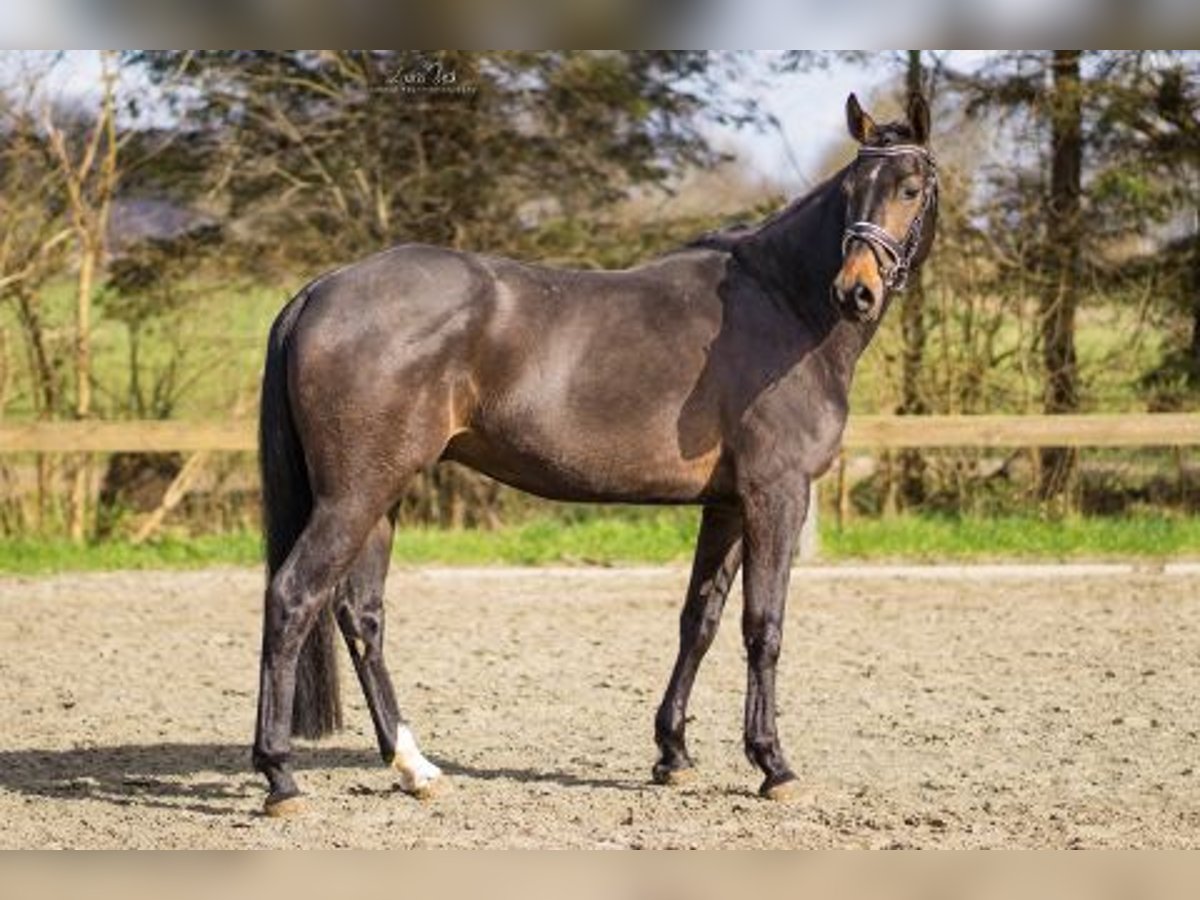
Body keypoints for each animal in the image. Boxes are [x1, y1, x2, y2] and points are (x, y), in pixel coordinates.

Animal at [253, 93, 940, 816]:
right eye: (852, 190)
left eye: (910, 187)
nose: (855, 291)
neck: (783, 305)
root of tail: (322, 289)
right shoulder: (776, 495)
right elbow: (764, 625)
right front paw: (772, 764)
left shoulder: (728, 505)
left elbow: (700, 619)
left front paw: (673, 754)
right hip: (353, 497)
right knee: (293, 598)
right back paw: (280, 777)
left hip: (382, 496)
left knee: (361, 616)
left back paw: (414, 767)